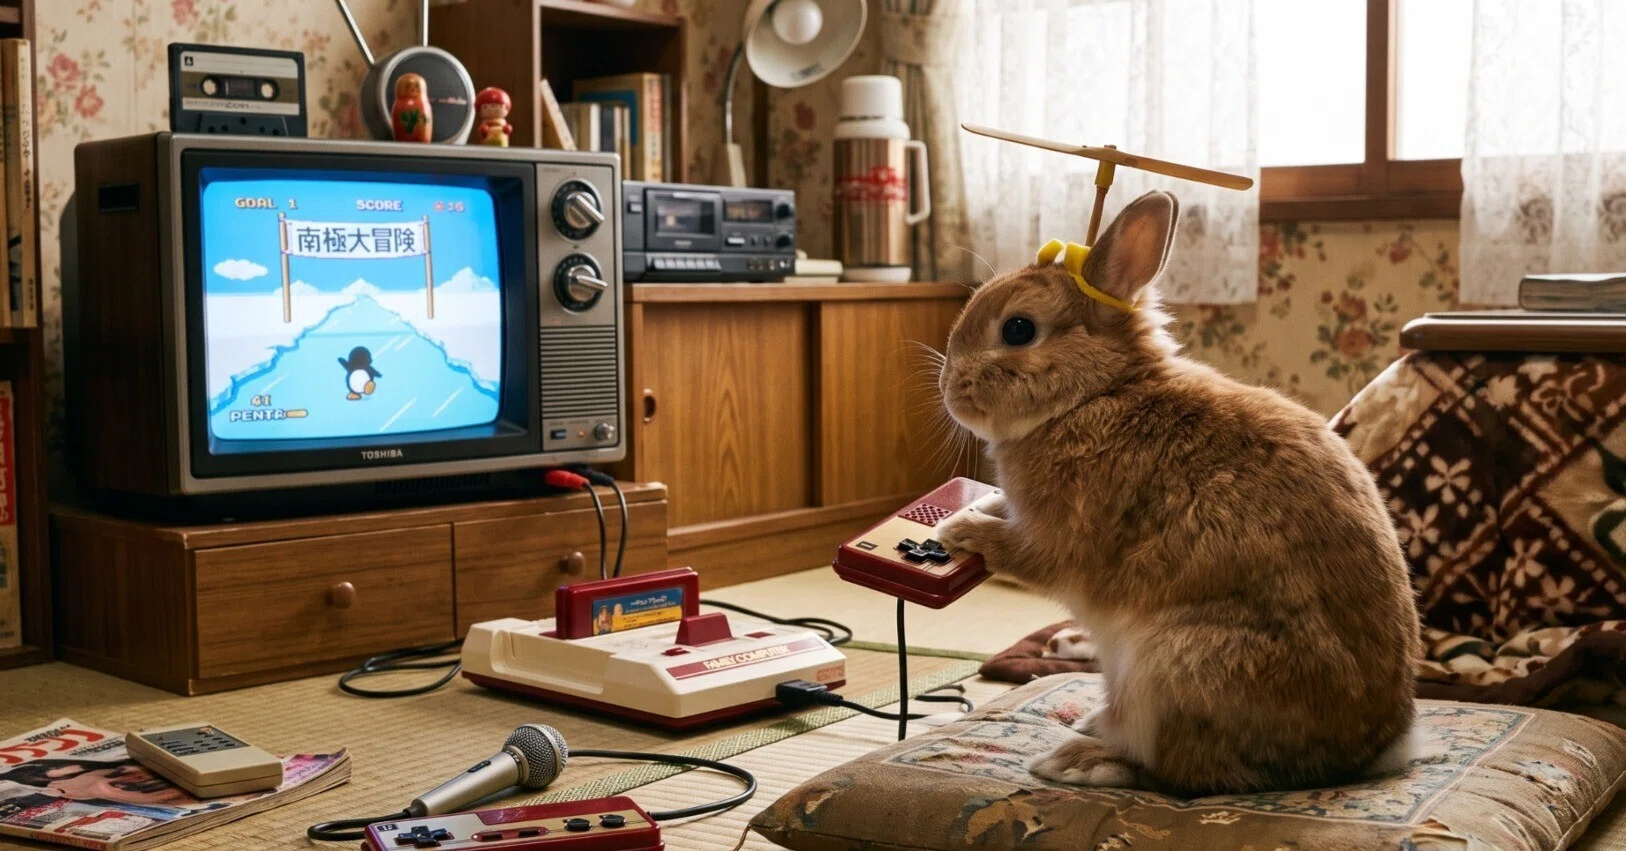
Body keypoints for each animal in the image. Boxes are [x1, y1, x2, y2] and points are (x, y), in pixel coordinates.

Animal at [934, 190, 1419, 796]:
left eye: (1018, 329)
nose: (949, 388)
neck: (1097, 393)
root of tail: (1370, 754)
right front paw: (967, 508)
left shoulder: (1062, 536)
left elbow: (1023, 552)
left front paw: (957, 529)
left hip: (1172, 672)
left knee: (1181, 773)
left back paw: (1077, 760)